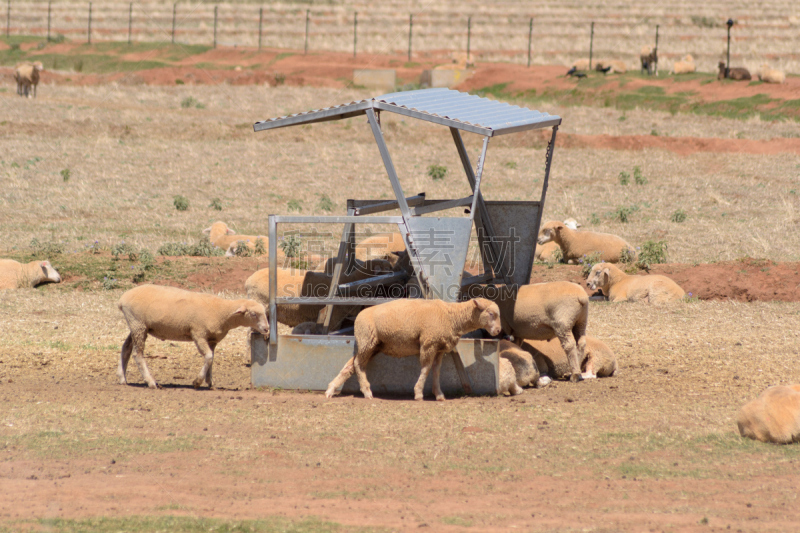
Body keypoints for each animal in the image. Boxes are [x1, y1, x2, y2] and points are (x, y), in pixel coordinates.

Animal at [117, 284, 268, 388]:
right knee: (137, 354)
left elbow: (211, 358)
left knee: (126, 348)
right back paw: (151, 382)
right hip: (138, 324)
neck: (222, 312)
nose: (266, 329)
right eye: (253, 314)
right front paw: (197, 381)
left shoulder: (212, 339)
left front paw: (210, 381)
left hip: (137, 326)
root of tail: (123, 298)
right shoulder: (198, 334)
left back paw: (122, 378)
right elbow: (209, 357)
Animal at [324, 298, 500, 402]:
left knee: (351, 365)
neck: (451, 316)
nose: (498, 331)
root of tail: (359, 316)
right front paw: (419, 393)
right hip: (367, 340)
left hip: (372, 344)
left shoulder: (439, 348)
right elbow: (426, 369)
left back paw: (331, 389)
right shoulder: (429, 343)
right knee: (359, 365)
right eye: (491, 313)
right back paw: (367, 392)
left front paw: (439, 394)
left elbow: (436, 370)